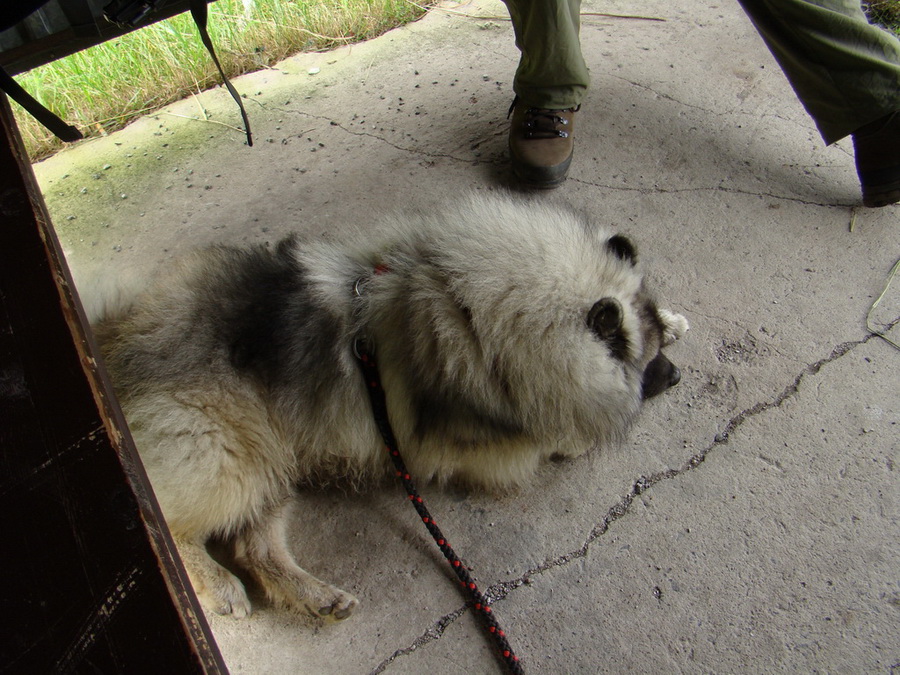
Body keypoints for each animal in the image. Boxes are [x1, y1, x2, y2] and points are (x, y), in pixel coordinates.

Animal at [86, 193, 688, 620]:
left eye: (656, 351)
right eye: (646, 366)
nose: (676, 375)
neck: (473, 306)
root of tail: (120, 332)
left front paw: (676, 318)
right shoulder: (475, 449)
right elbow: (545, 438)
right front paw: (578, 432)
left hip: (274, 460)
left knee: (254, 545)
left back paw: (317, 597)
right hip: (226, 452)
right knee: (169, 526)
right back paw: (216, 587)